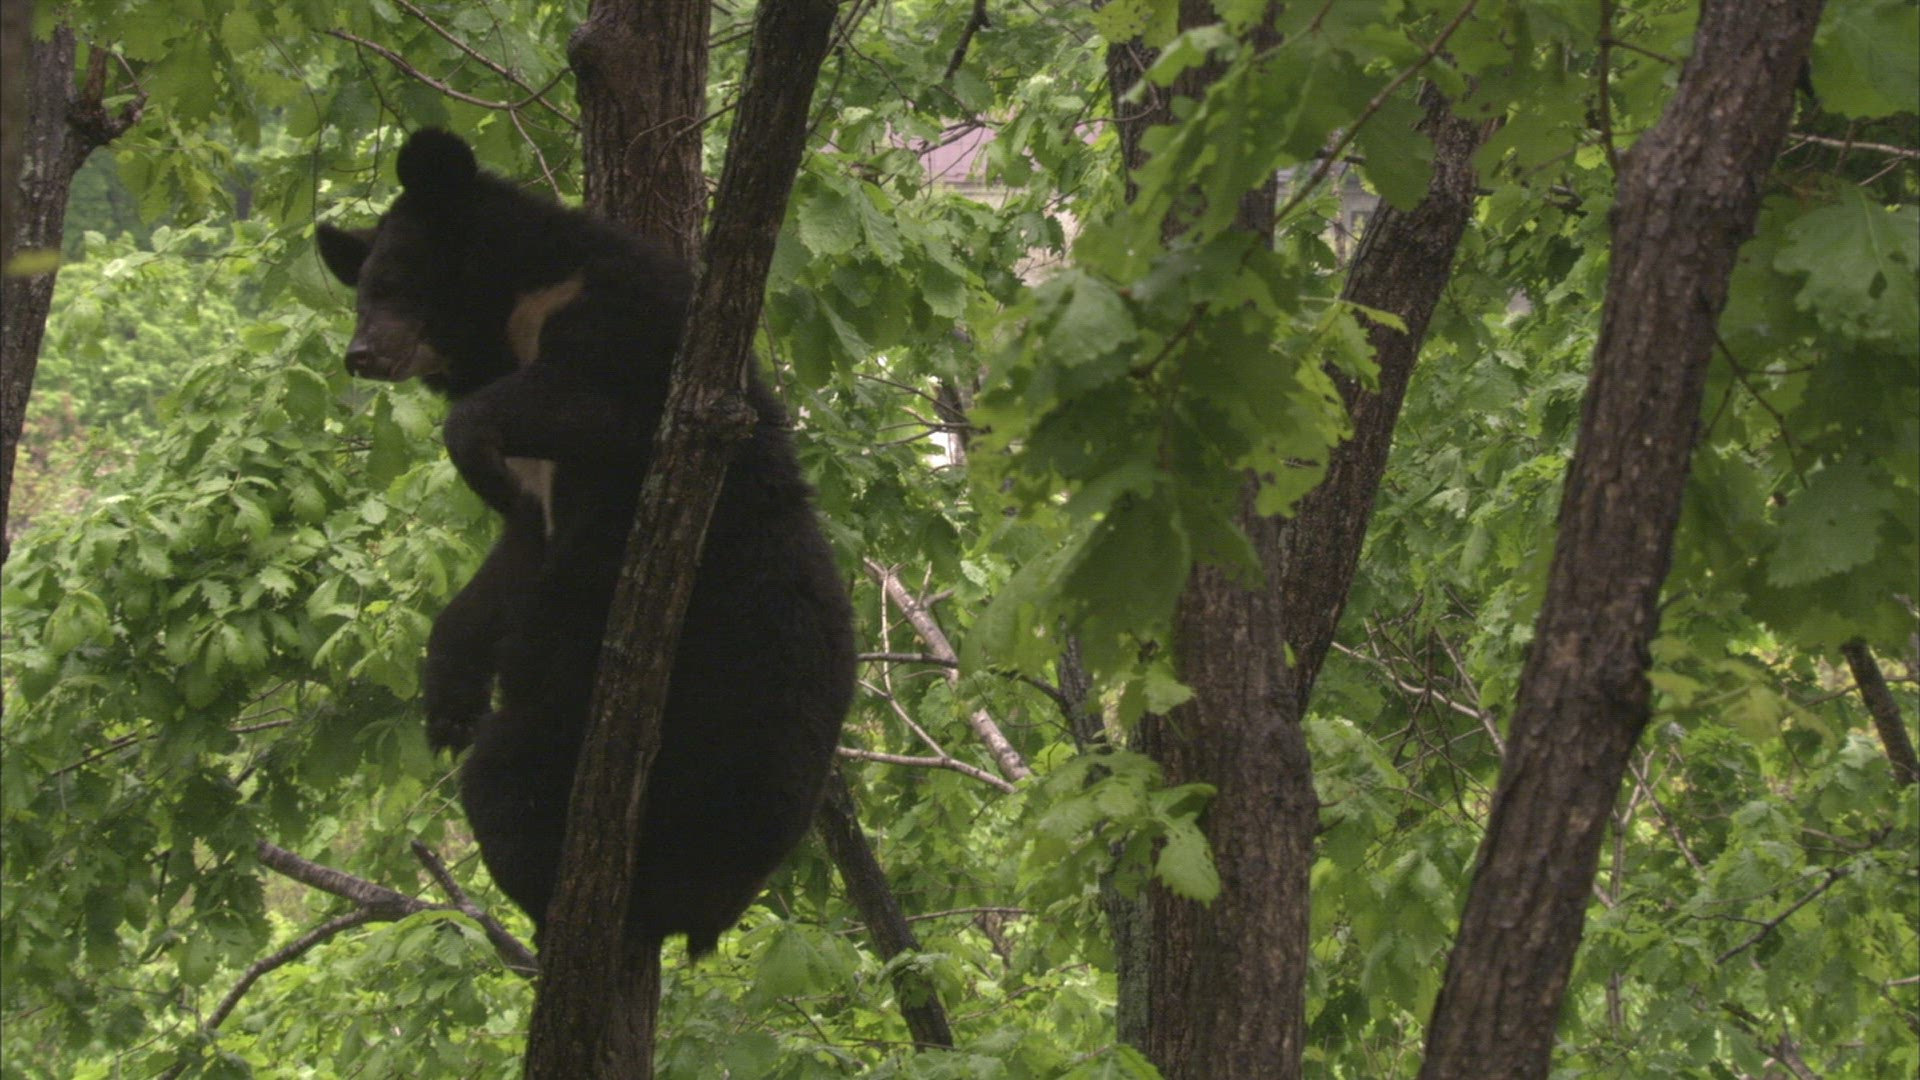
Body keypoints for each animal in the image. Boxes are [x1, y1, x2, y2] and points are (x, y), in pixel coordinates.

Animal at [316, 129, 856, 959]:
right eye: (362, 291)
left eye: (397, 281)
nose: (361, 353)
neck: (515, 311)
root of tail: (715, 906)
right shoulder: (537, 495)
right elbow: (512, 556)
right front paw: (448, 699)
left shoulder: (625, 330)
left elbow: (593, 407)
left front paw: (471, 449)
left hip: (721, 707)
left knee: (505, 775)